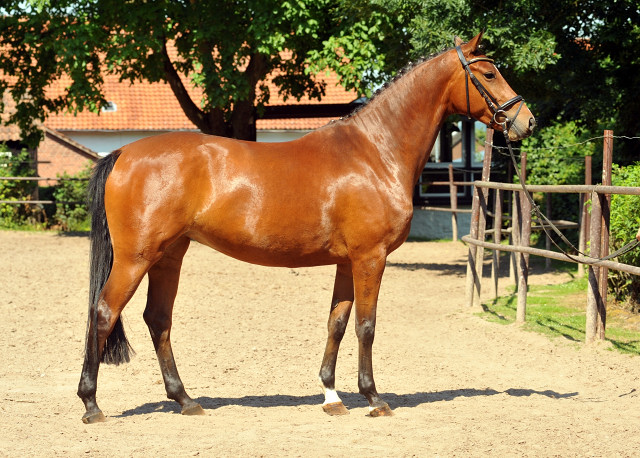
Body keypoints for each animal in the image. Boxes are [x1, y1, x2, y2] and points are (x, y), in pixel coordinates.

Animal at [76, 32, 536, 424]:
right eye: (489, 73)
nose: (526, 121)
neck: (375, 152)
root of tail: (123, 153)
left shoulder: (348, 263)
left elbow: (337, 322)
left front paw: (331, 397)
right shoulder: (371, 259)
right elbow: (366, 326)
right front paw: (374, 398)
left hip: (169, 255)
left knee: (158, 319)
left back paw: (186, 400)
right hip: (136, 258)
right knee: (103, 312)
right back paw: (91, 404)